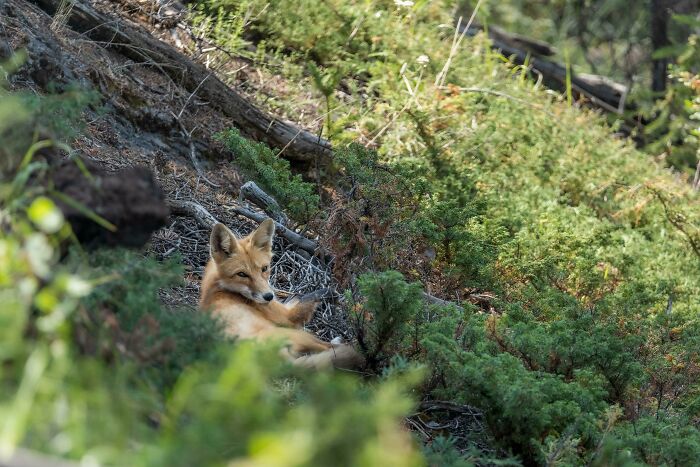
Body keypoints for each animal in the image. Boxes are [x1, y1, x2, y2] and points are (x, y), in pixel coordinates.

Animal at [199, 218, 364, 370]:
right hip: (299, 335)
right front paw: (332, 291)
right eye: (242, 274)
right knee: (331, 348)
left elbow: (296, 297)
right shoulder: (287, 317)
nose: (268, 296)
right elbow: (309, 296)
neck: (219, 285)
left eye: (264, 268)